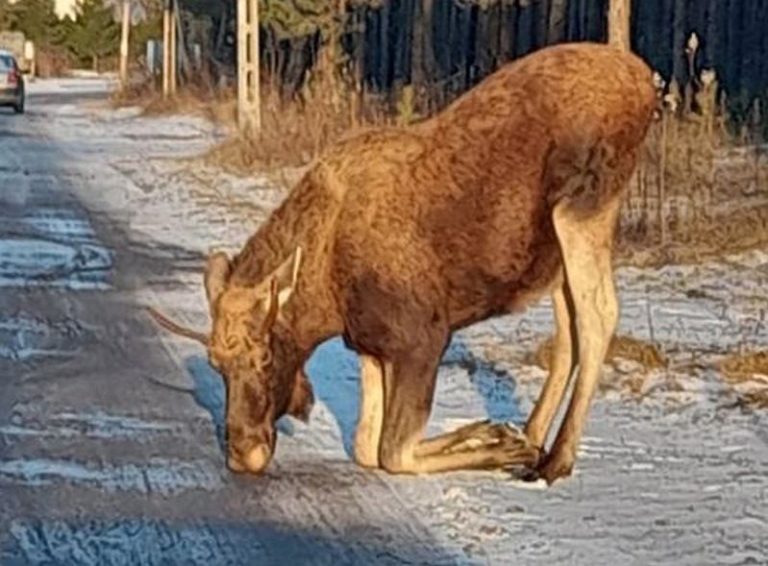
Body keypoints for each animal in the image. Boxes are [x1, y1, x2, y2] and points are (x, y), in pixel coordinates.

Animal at [148, 43, 656, 488]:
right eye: (215, 364)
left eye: (267, 355)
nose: (244, 454)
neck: (327, 294)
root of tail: (646, 81)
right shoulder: (372, 345)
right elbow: (367, 446)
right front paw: (496, 435)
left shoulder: (423, 339)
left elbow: (393, 452)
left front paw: (497, 441)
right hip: (554, 252)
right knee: (568, 331)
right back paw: (533, 436)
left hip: (584, 209)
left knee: (598, 317)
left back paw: (556, 458)